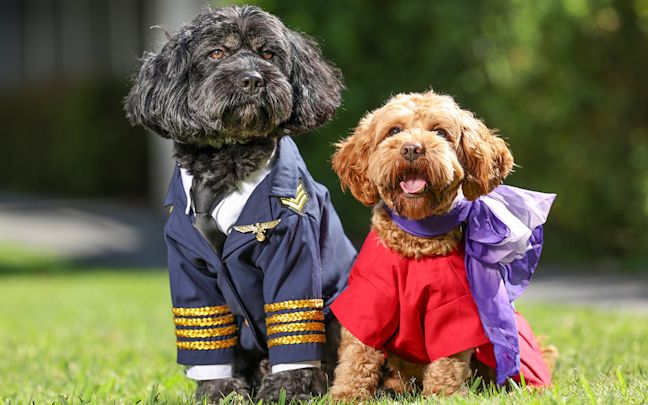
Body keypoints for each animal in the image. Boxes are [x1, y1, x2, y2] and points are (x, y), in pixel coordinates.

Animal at [121, 4, 354, 402]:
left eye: (269, 54)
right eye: (216, 53)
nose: (252, 80)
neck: (225, 165)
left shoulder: (292, 252)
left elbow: (292, 322)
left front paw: (287, 391)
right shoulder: (189, 268)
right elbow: (208, 336)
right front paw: (219, 391)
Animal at [330, 90, 556, 398]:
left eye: (440, 132)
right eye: (394, 130)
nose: (412, 149)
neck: (416, 239)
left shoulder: (453, 306)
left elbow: (449, 357)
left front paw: (443, 395)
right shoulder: (370, 294)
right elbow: (358, 352)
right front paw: (348, 394)